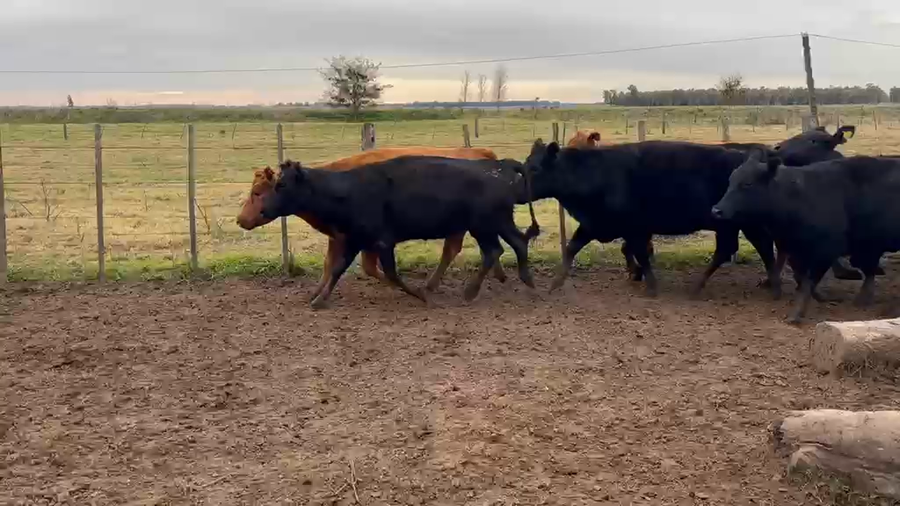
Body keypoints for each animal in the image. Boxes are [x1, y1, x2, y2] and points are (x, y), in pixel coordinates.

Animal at [257, 157, 539, 308]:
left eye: (282, 185)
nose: (262, 210)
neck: (349, 191)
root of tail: (500, 166)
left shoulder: (382, 242)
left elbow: (392, 274)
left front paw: (421, 294)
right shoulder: (353, 239)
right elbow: (338, 269)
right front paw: (319, 300)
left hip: (485, 225)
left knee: (496, 250)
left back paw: (471, 291)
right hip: (495, 223)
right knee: (513, 243)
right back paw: (525, 280)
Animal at [523, 139, 780, 298]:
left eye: (535, 169)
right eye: (526, 164)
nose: (518, 189)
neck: (596, 173)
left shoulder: (633, 228)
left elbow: (640, 252)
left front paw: (649, 284)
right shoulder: (595, 225)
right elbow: (573, 248)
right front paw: (556, 283)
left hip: (738, 224)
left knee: (748, 247)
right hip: (733, 225)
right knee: (746, 248)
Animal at [712, 152, 900, 324]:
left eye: (747, 183)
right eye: (730, 181)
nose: (716, 210)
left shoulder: (826, 250)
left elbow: (809, 282)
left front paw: (796, 314)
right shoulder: (794, 251)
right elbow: (803, 280)